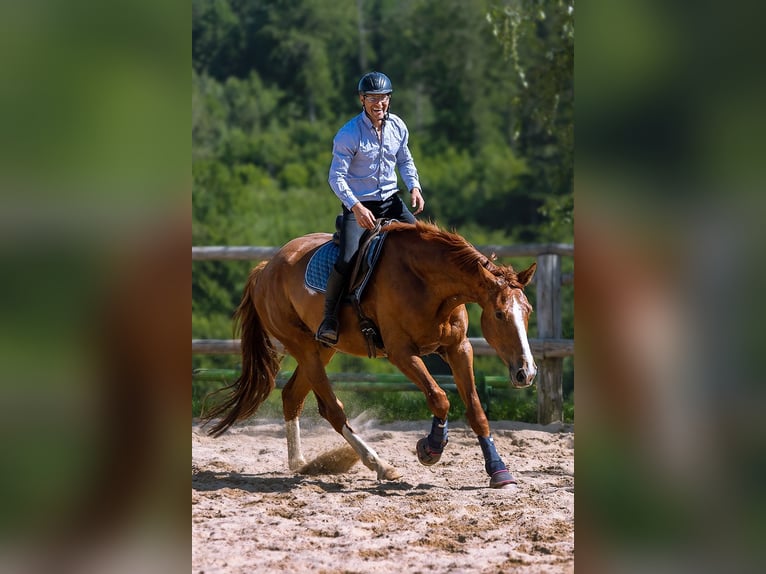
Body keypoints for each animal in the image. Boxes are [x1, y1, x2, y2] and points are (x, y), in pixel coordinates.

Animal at [203, 220, 537, 488]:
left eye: (528, 310)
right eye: (499, 314)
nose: (527, 372)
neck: (425, 282)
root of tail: (266, 269)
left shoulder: (458, 348)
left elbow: (476, 411)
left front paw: (499, 471)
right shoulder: (402, 353)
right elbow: (439, 397)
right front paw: (430, 448)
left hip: (322, 350)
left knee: (292, 397)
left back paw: (302, 463)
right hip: (304, 348)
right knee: (333, 410)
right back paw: (380, 465)